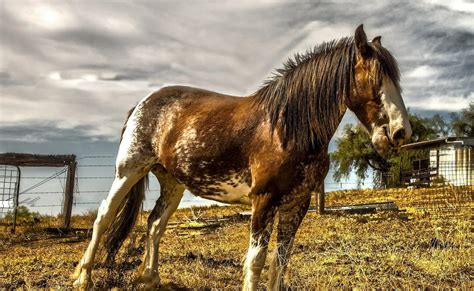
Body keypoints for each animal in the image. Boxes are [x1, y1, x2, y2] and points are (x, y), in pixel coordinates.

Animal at [73, 24, 412, 290]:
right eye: (374, 79)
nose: (400, 132)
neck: (286, 127)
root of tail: (143, 103)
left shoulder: (297, 202)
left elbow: (281, 260)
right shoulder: (263, 200)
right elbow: (256, 260)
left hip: (173, 183)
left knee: (155, 223)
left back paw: (151, 278)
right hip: (129, 171)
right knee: (103, 217)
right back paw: (83, 277)